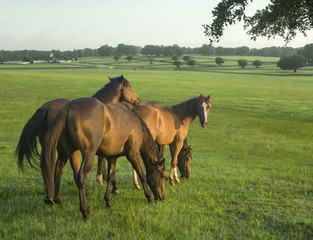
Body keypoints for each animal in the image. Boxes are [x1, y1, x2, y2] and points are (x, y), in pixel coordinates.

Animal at [15, 75, 140, 204]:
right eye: (130, 86)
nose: (138, 100)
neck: (105, 112)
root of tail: (45, 108)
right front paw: (114, 187)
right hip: (65, 151)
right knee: (70, 171)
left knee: (51, 170)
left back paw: (52, 198)